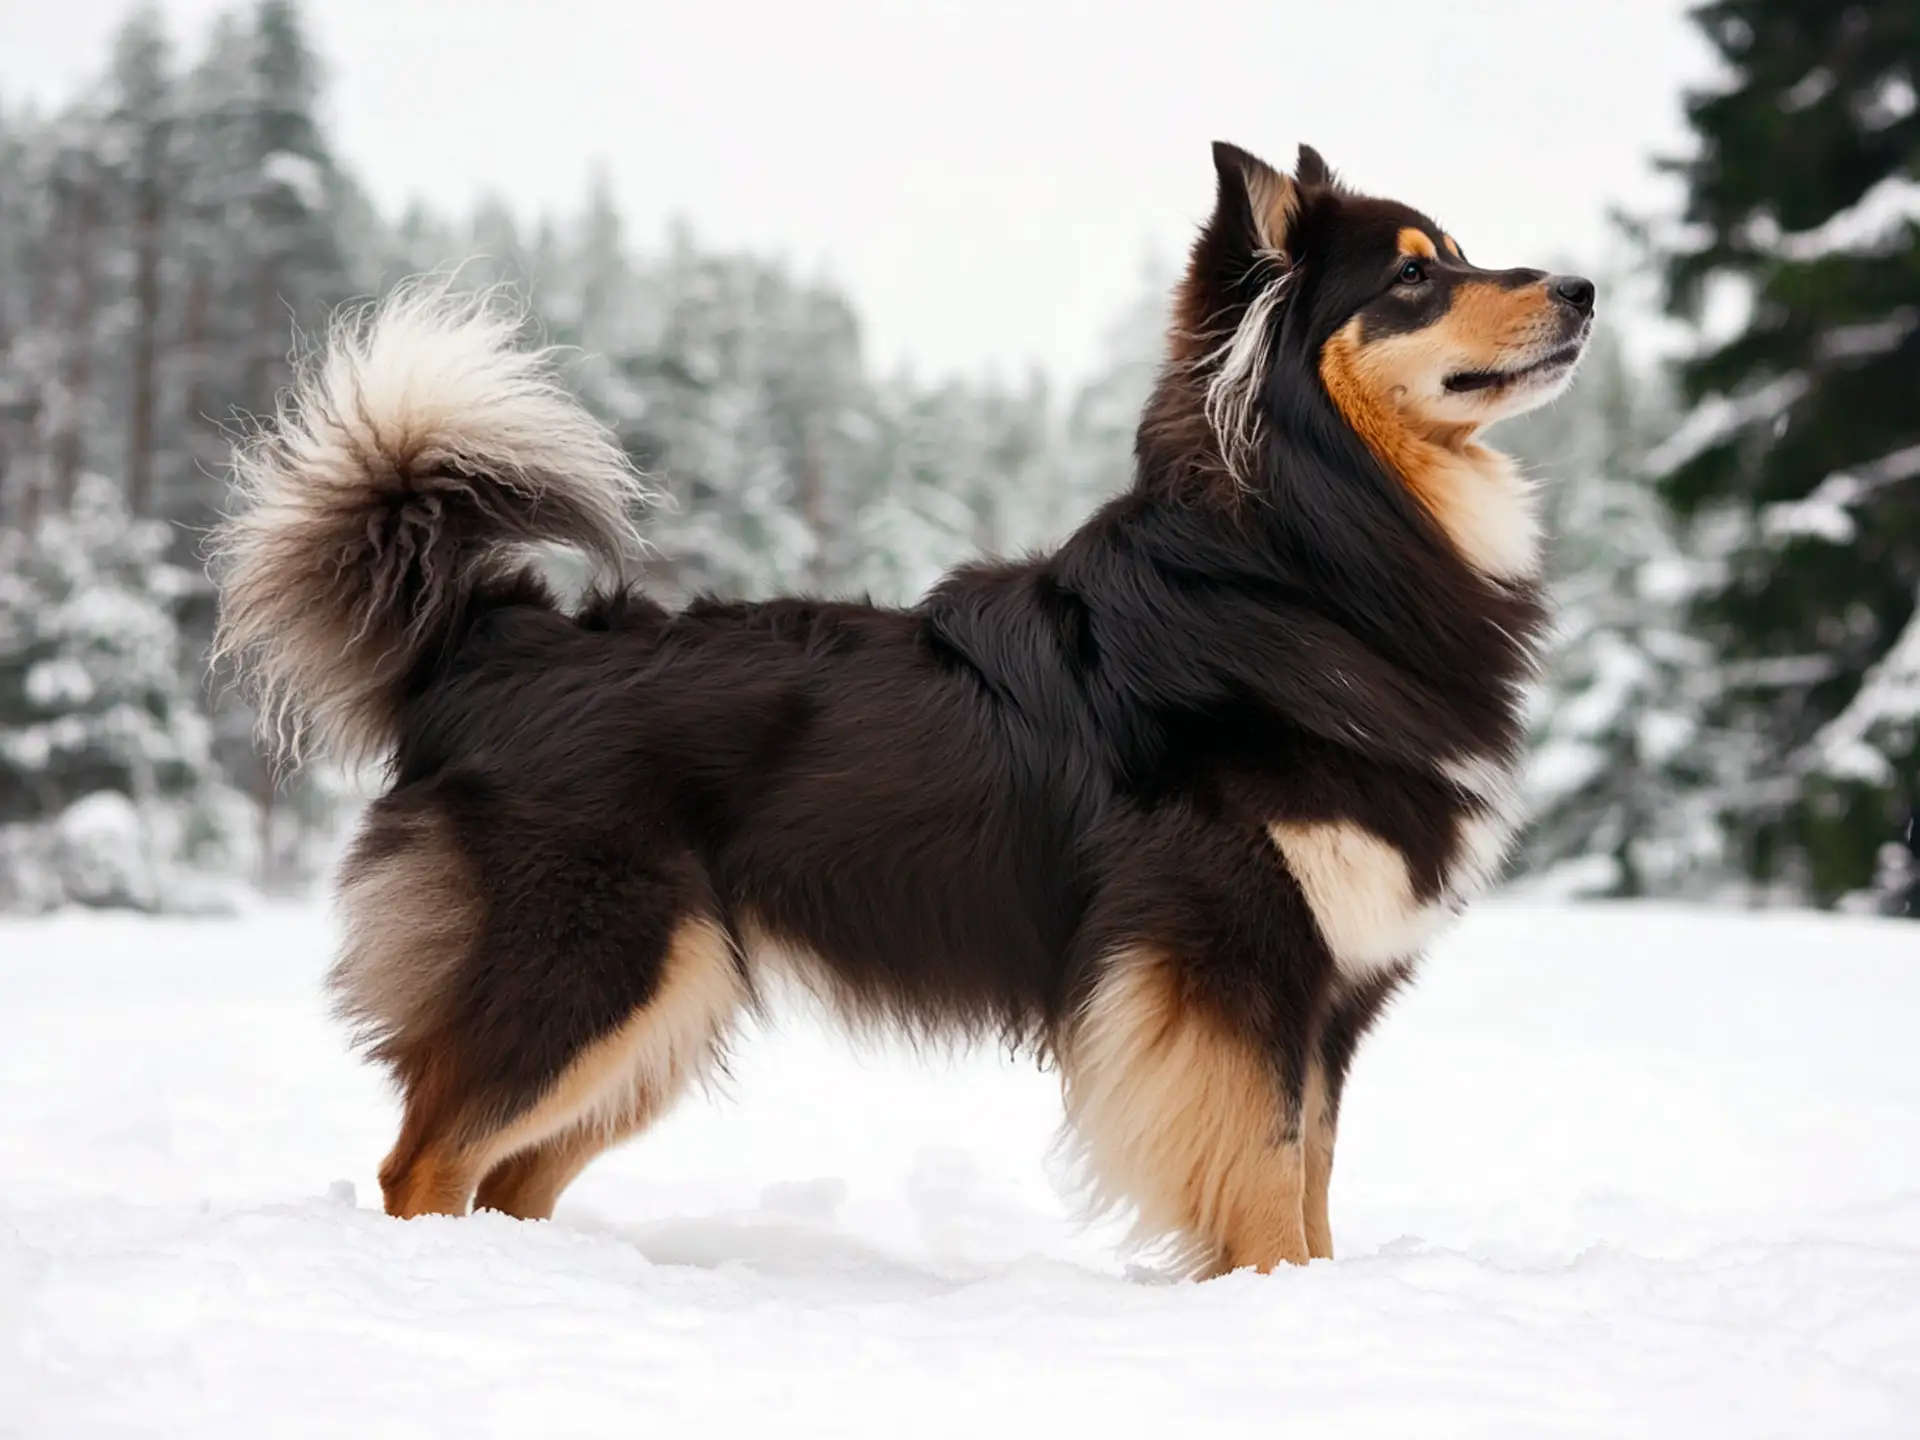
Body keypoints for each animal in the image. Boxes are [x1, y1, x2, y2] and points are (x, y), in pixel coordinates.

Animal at [217, 141, 1589, 1282]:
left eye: (1454, 251)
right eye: (1412, 278)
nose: (1581, 287)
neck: (1306, 563)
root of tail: (492, 638)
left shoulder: (1326, 997)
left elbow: (1313, 1180)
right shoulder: (1227, 960)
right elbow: (1265, 1180)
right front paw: (1274, 1307)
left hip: (663, 1005)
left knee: (503, 1175)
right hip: (593, 970)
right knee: (421, 1162)